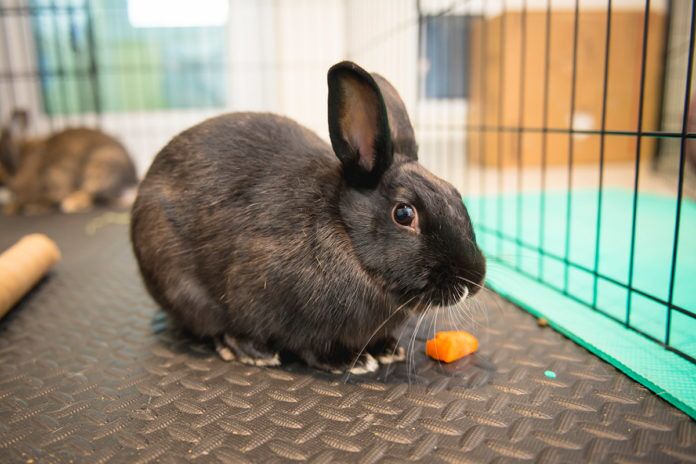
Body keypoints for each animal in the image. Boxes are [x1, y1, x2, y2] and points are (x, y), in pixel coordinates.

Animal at [0, 109, 138, 215]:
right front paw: (12, 207)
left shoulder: (56, 181)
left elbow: (45, 198)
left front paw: (33, 208)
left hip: (99, 165)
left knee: (89, 194)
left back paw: (71, 203)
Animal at [131, 61, 486, 374]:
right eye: (404, 213)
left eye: (456, 194)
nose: (474, 279)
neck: (346, 235)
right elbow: (309, 345)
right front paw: (351, 363)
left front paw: (387, 350)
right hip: (184, 288)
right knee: (213, 326)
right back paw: (252, 352)